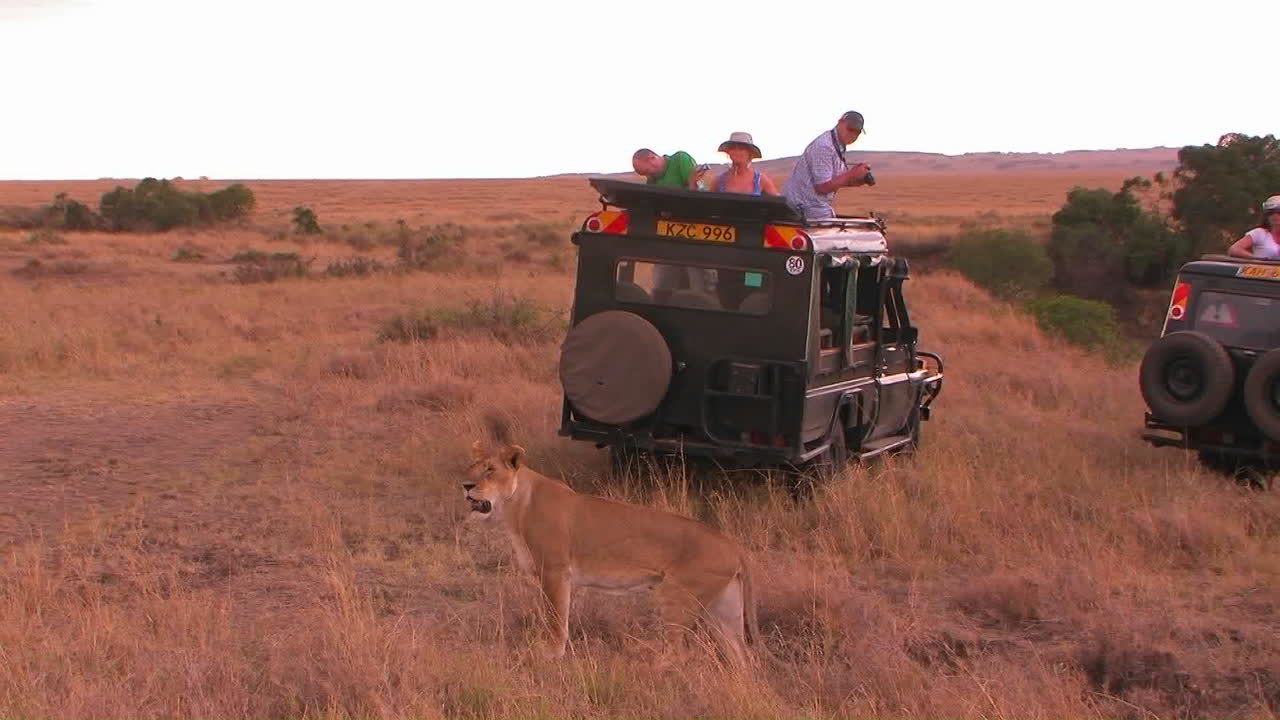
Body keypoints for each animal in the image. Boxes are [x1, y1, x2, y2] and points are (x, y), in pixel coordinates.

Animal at [462, 440, 761, 667]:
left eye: (490, 470)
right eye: (471, 467)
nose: (465, 485)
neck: (514, 507)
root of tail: (734, 545)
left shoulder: (556, 571)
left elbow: (556, 617)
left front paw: (551, 654)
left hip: (675, 596)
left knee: (679, 651)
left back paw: (650, 669)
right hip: (723, 607)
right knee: (742, 655)